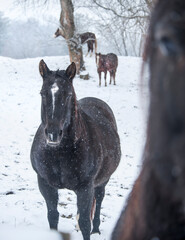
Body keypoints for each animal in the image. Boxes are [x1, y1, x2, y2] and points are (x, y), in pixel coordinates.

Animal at [30, 59, 120, 240]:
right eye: (43, 94)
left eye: (68, 95)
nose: (53, 134)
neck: (60, 154)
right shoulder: (45, 185)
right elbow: (53, 216)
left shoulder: (86, 188)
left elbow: (85, 222)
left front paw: (88, 228)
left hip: (102, 181)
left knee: (98, 200)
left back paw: (96, 229)